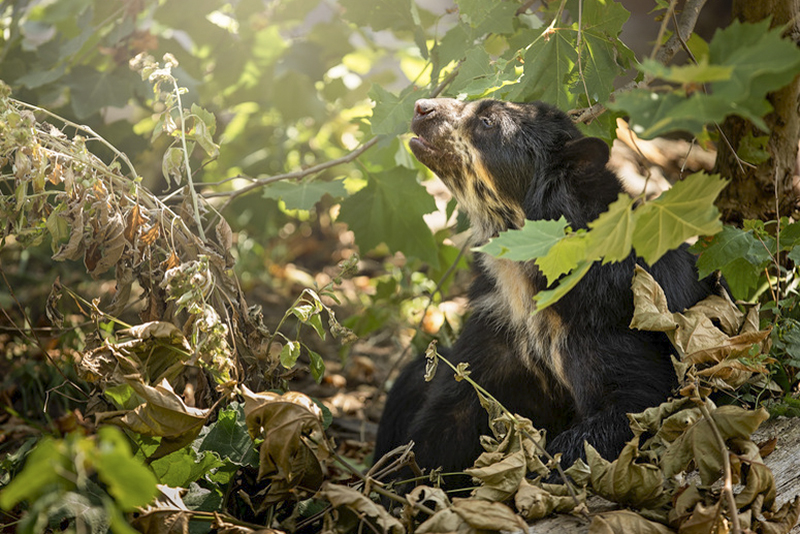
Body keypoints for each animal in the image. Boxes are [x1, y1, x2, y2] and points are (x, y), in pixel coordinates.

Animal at [374, 98, 723, 486]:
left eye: (487, 122)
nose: (421, 107)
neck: (524, 276)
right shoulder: (497, 324)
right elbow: (446, 417)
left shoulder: (610, 320)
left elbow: (634, 402)